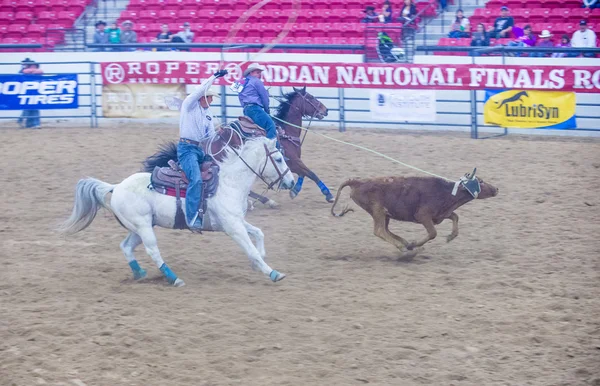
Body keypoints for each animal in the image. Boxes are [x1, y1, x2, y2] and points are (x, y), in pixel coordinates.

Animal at [59, 136, 296, 286]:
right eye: (278, 158)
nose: (292, 182)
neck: (229, 183)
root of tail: (116, 187)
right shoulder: (233, 227)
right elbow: (251, 248)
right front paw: (272, 272)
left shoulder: (234, 221)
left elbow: (258, 233)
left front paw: (259, 262)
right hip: (143, 227)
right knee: (153, 251)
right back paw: (174, 278)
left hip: (138, 227)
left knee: (126, 247)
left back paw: (140, 273)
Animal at [330, 175, 500, 253]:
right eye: (481, 181)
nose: (496, 188)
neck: (446, 193)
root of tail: (358, 181)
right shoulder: (423, 216)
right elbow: (432, 233)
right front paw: (414, 244)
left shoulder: (441, 214)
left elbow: (455, 216)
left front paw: (451, 236)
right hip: (377, 210)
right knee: (379, 230)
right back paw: (404, 247)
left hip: (385, 214)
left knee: (385, 230)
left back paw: (404, 243)